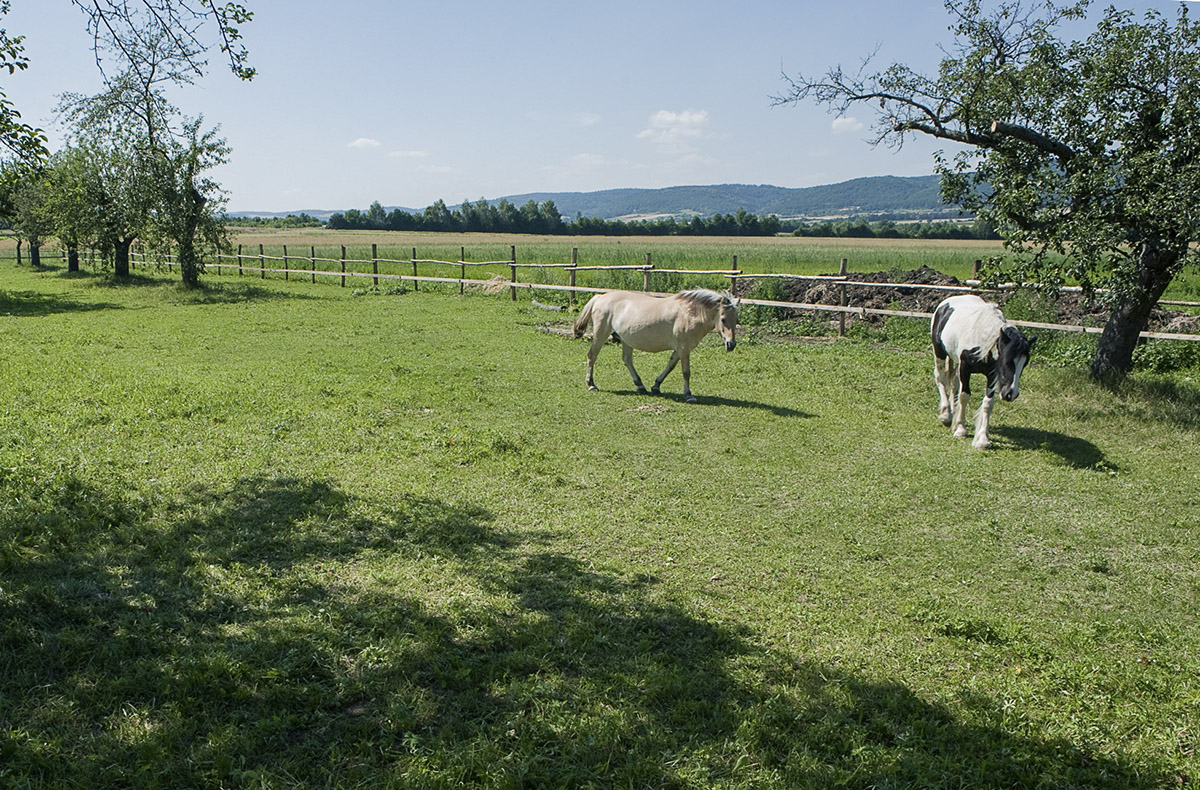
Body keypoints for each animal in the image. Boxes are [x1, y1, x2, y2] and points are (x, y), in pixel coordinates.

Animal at [572, 288, 739, 403]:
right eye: (723, 319)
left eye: (736, 318)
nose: (731, 344)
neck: (689, 314)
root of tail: (600, 297)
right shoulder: (684, 349)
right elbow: (686, 372)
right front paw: (689, 395)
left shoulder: (679, 349)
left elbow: (670, 366)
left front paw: (656, 386)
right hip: (600, 335)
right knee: (592, 356)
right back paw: (591, 384)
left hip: (626, 340)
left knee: (627, 360)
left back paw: (640, 385)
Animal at [931, 294, 1036, 449]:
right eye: (1006, 360)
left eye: (1025, 363)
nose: (1011, 394)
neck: (981, 340)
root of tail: (945, 303)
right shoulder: (965, 367)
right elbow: (964, 396)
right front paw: (961, 429)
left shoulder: (992, 375)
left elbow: (988, 403)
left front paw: (983, 439)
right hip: (939, 353)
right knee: (941, 379)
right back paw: (946, 415)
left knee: (954, 383)